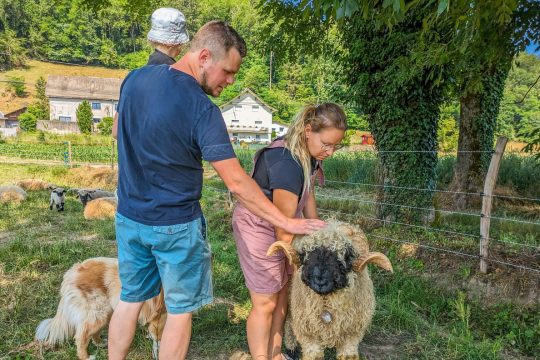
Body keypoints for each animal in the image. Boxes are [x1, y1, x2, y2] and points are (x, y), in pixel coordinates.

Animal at [34, 258, 166, 358]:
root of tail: (73, 271)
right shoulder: (159, 319)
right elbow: (158, 340)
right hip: (99, 313)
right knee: (81, 336)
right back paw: (86, 357)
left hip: (106, 312)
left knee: (92, 333)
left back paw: (100, 343)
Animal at [268, 219, 394, 360]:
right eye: (306, 256)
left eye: (344, 258)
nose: (320, 280)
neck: (326, 306)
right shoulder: (309, 334)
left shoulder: (352, 335)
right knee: (289, 321)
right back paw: (291, 349)